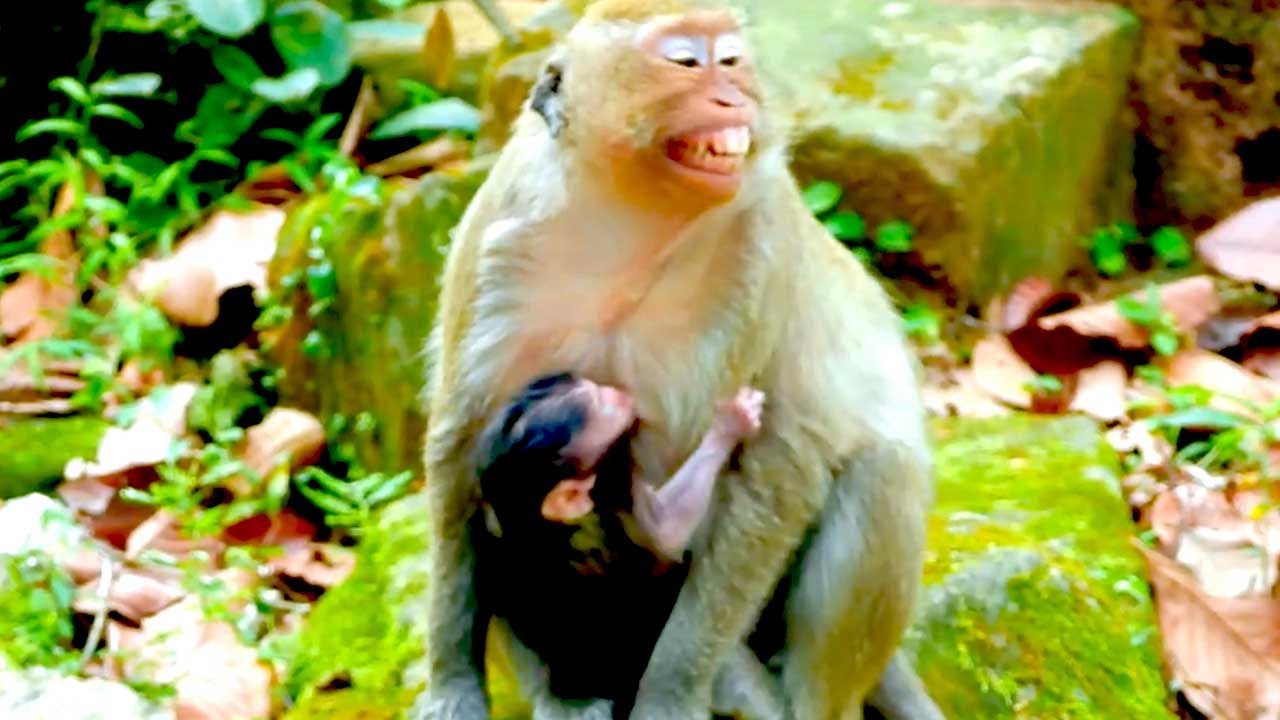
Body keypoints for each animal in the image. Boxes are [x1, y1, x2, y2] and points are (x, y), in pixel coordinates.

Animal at [471, 373, 772, 718]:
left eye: (592, 387)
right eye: (601, 402)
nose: (615, 392)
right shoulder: (607, 478)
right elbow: (666, 531)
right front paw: (731, 423)